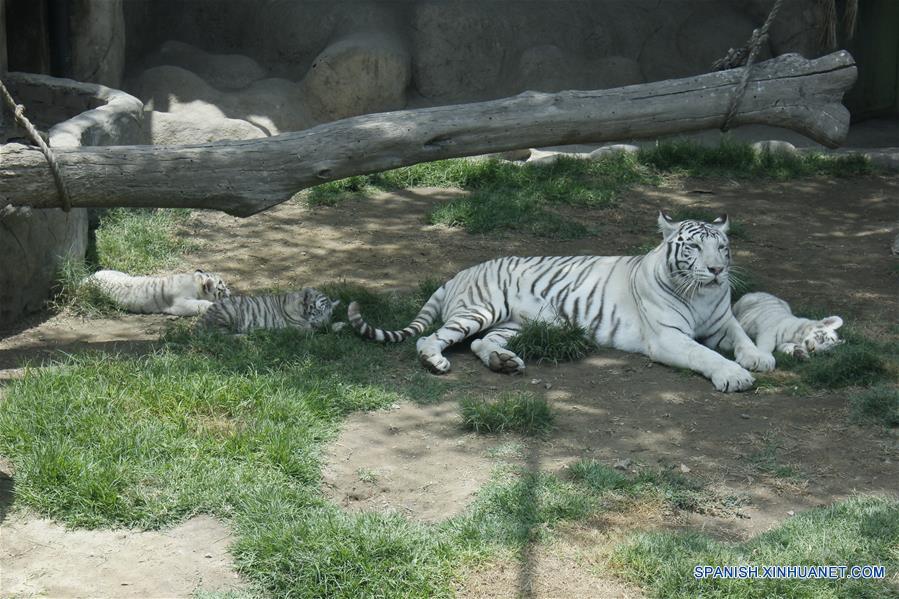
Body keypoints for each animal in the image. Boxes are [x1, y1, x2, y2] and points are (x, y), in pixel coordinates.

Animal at [348, 213, 776, 392]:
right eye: (694, 247)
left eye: (722, 246)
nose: (717, 269)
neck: (701, 294)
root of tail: (459, 272)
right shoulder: (667, 337)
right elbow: (705, 354)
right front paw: (734, 375)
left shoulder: (722, 322)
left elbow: (741, 336)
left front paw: (759, 358)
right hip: (480, 309)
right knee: (430, 339)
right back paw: (436, 361)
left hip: (513, 323)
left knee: (479, 343)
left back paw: (504, 363)